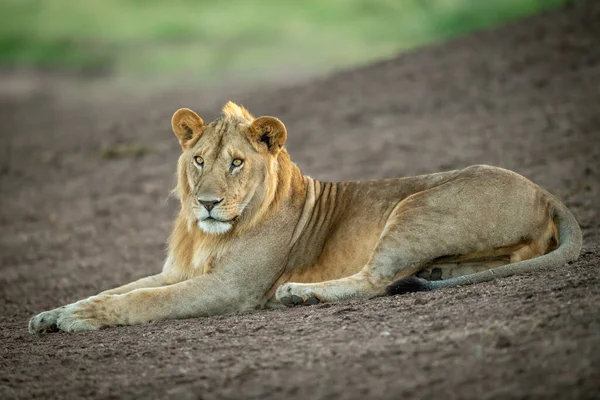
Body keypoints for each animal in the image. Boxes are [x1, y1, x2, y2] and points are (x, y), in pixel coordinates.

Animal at [28, 101, 580, 332]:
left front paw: (79, 319)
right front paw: (52, 314)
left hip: (415, 205)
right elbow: (117, 289)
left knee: (375, 280)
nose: (207, 203)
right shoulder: (177, 272)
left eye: (237, 162)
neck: (206, 235)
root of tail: (545, 191)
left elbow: (144, 300)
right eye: (199, 159)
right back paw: (440, 272)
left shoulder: (230, 288)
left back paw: (300, 294)